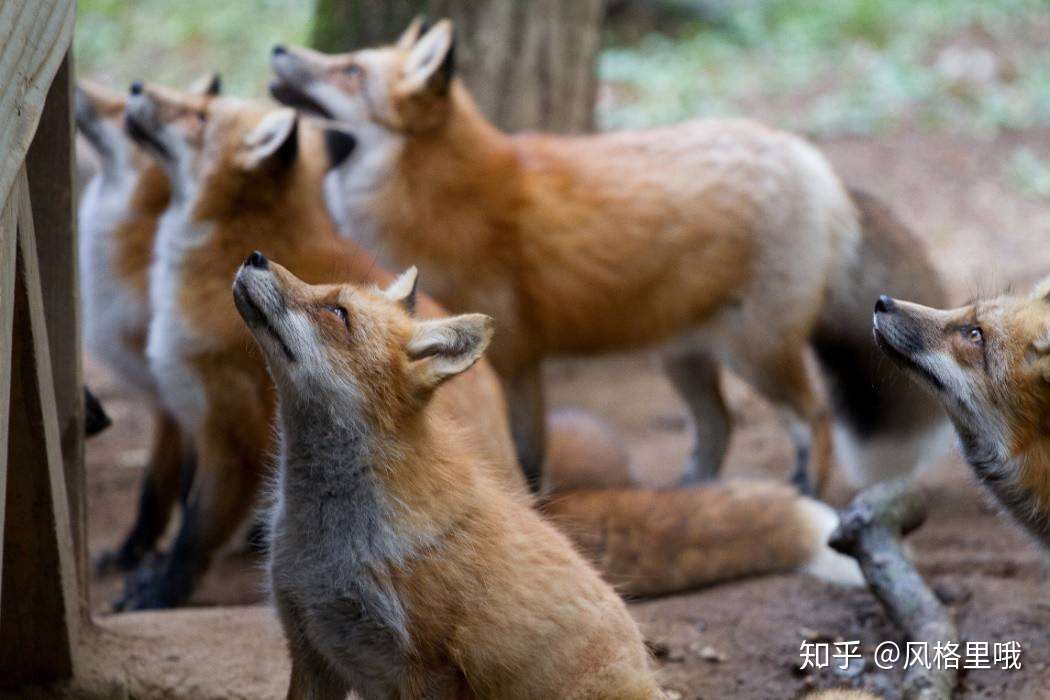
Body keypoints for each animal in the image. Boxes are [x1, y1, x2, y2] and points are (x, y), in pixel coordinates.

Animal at [106, 80, 856, 608]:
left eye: (198, 116)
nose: (136, 88)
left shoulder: (228, 425)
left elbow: (191, 534)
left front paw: (155, 593)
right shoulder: (188, 415)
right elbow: (160, 498)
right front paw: (133, 557)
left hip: (750, 346)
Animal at [239, 257, 663, 700]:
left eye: (338, 312)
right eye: (321, 286)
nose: (256, 256)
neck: (327, 549)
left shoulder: (426, 669)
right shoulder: (310, 647)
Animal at [268, 17, 953, 497]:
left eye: (350, 71)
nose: (277, 50)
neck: (439, 191)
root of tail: (809, 158)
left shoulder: (515, 356)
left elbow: (526, 456)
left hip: (754, 353)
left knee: (813, 416)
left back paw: (806, 493)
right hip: (685, 357)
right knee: (719, 427)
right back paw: (694, 496)